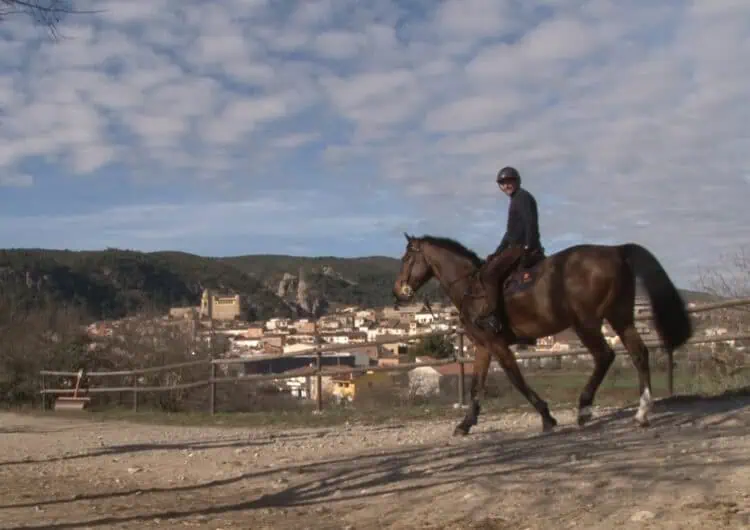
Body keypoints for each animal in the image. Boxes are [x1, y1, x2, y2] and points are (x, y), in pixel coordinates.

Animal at [394, 233, 692, 436]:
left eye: (407, 258)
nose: (398, 291)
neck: (470, 287)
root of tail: (615, 252)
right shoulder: (483, 345)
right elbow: (476, 385)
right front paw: (465, 424)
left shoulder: (496, 343)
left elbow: (516, 378)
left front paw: (547, 416)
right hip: (620, 317)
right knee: (639, 353)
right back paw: (642, 412)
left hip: (586, 323)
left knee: (605, 356)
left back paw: (585, 408)